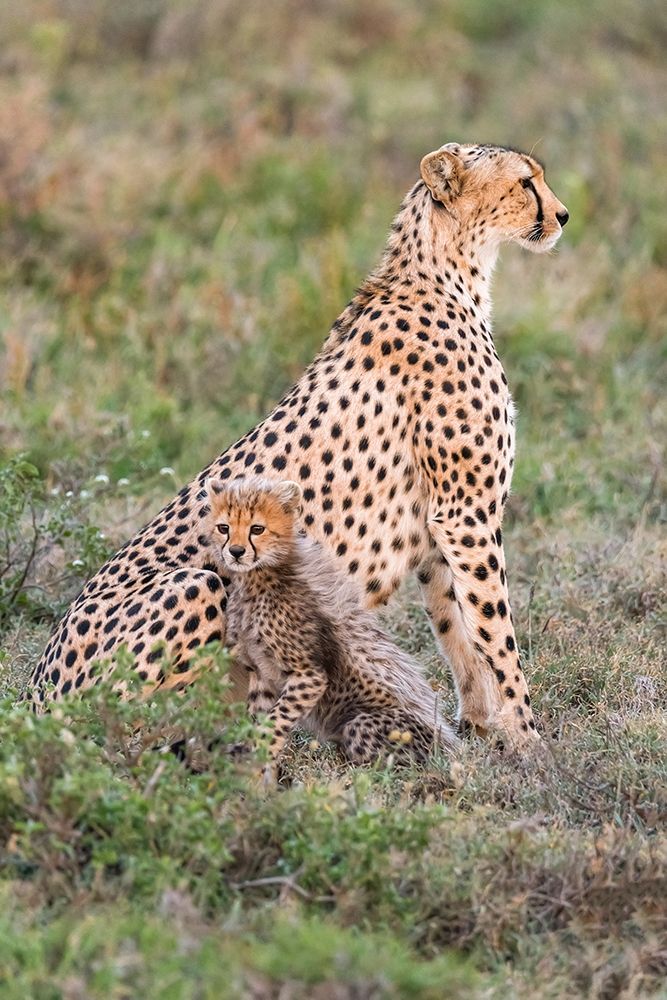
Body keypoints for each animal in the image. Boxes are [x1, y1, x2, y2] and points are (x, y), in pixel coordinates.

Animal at [32, 141, 568, 752]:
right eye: (526, 181)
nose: (563, 215)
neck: (447, 271)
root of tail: (34, 695)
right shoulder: (466, 513)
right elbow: (497, 635)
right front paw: (530, 743)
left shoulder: (440, 525)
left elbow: (458, 629)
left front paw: (477, 732)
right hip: (198, 584)